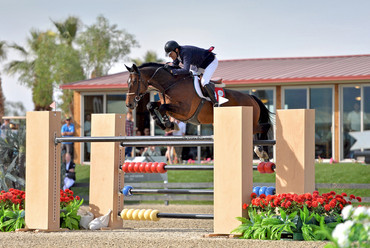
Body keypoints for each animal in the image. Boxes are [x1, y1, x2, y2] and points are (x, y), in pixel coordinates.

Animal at [124, 62, 272, 161]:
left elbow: (162, 108)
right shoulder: (168, 104)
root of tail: (251, 97)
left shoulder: (184, 111)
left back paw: (262, 152)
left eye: (135, 82)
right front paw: (164, 124)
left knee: (265, 126)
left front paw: (169, 124)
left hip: (251, 123)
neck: (170, 84)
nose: (129, 104)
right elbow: (151, 105)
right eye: (127, 82)